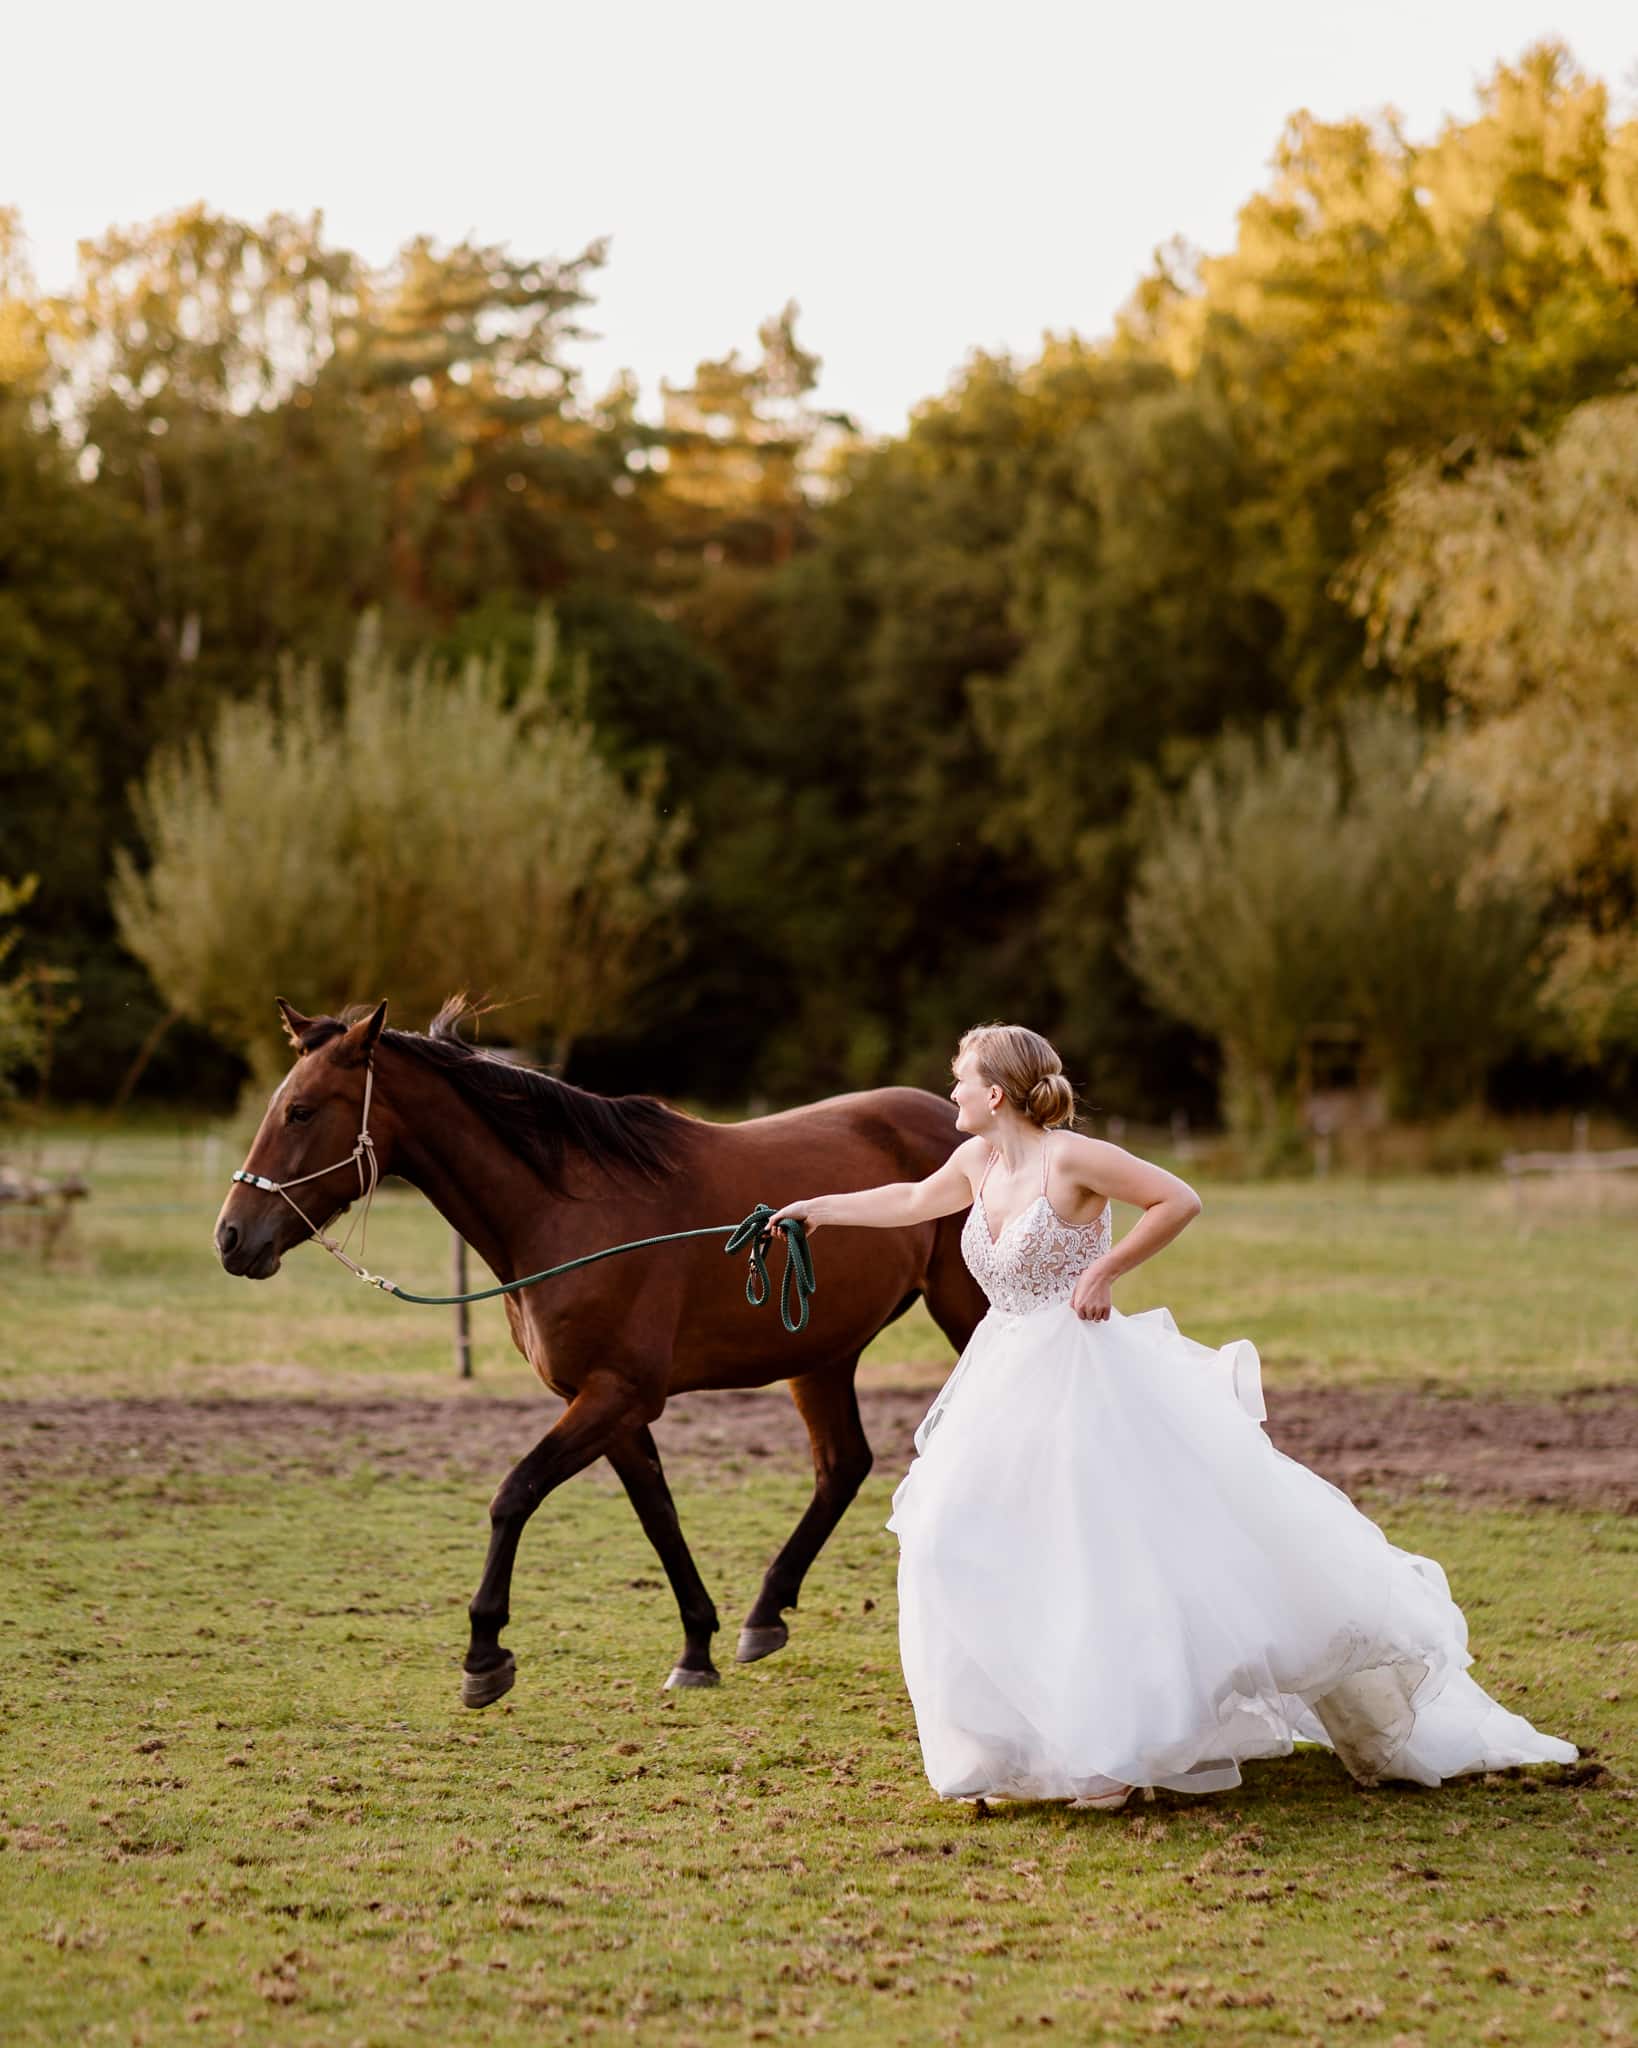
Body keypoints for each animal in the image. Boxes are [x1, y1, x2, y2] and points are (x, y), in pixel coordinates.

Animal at [217, 999, 986, 1703]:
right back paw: (764, 1615)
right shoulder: (605, 1402)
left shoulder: (617, 1393)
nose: (231, 1237)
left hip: (963, 1315)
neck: (568, 1212)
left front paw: (484, 1654)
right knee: (842, 1466)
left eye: (301, 1112)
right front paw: (695, 1647)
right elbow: (657, 1514)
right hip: (821, 1352)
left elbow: (514, 1493)